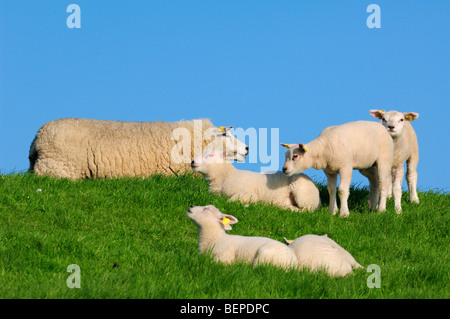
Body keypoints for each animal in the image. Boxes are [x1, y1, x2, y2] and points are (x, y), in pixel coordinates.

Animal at [190, 149, 320, 212]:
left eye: (210, 155)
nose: (192, 162)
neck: (225, 175)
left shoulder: (247, 193)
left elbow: (230, 201)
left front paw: (249, 204)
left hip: (302, 192)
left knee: (307, 210)